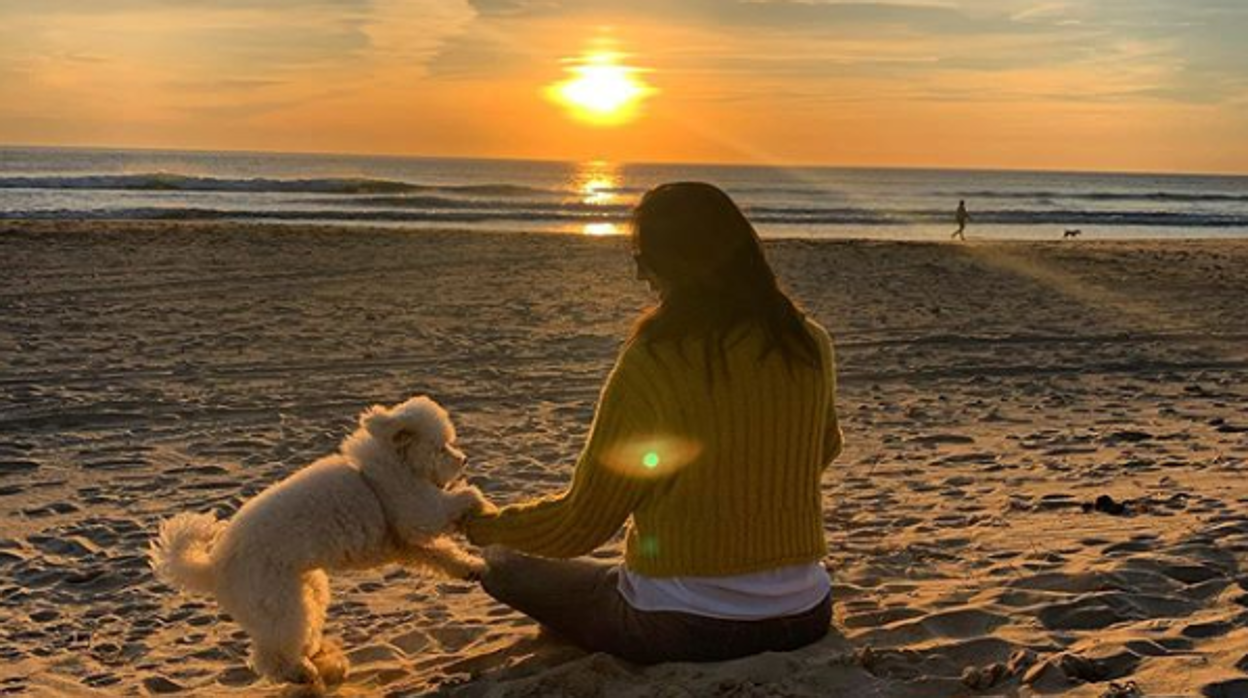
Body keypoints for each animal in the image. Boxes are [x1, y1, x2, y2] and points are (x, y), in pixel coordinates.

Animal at [148, 397, 489, 689]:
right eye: (443, 448)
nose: (464, 460)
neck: (386, 465)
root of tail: (214, 567)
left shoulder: (408, 541)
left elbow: (444, 555)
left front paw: (471, 567)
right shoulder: (415, 510)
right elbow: (452, 504)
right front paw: (475, 499)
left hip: (308, 590)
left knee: (297, 637)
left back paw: (319, 658)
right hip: (280, 603)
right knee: (269, 657)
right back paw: (300, 673)